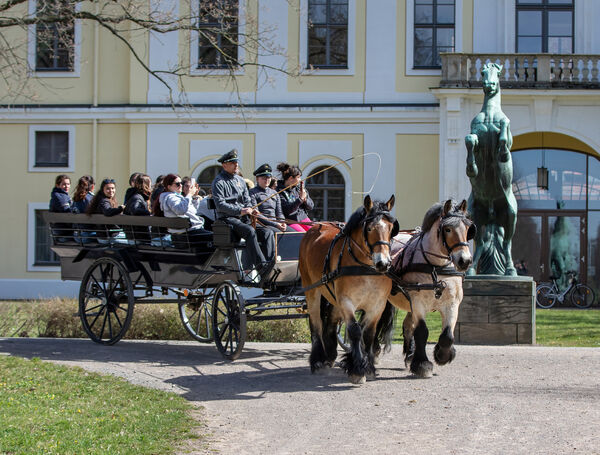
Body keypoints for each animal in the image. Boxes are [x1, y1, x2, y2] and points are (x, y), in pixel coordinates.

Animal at [298, 196, 398, 384]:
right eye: (369, 228)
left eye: (391, 228)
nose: (383, 263)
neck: (366, 269)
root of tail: (315, 227)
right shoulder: (346, 301)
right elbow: (355, 331)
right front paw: (357, 369)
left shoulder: (377, 305)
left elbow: (368, 334)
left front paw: (368, 367)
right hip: (312, 291)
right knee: (316, 323)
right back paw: (317, 361)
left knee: (330, 323)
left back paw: (329, 356)